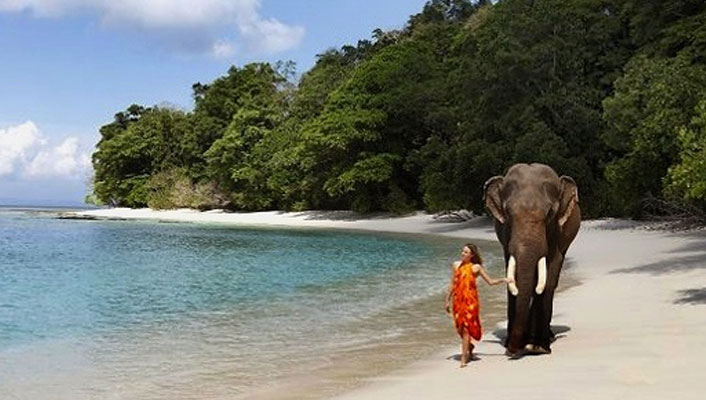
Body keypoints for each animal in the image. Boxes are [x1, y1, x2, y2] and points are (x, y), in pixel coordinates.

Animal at [484, 163, 576, 356]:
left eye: (550, 213)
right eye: (508, 212)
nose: (511, 350)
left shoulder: (557, 232)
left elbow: (548, 275)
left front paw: (536, 347)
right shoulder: (506, 235)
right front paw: (513, 345)